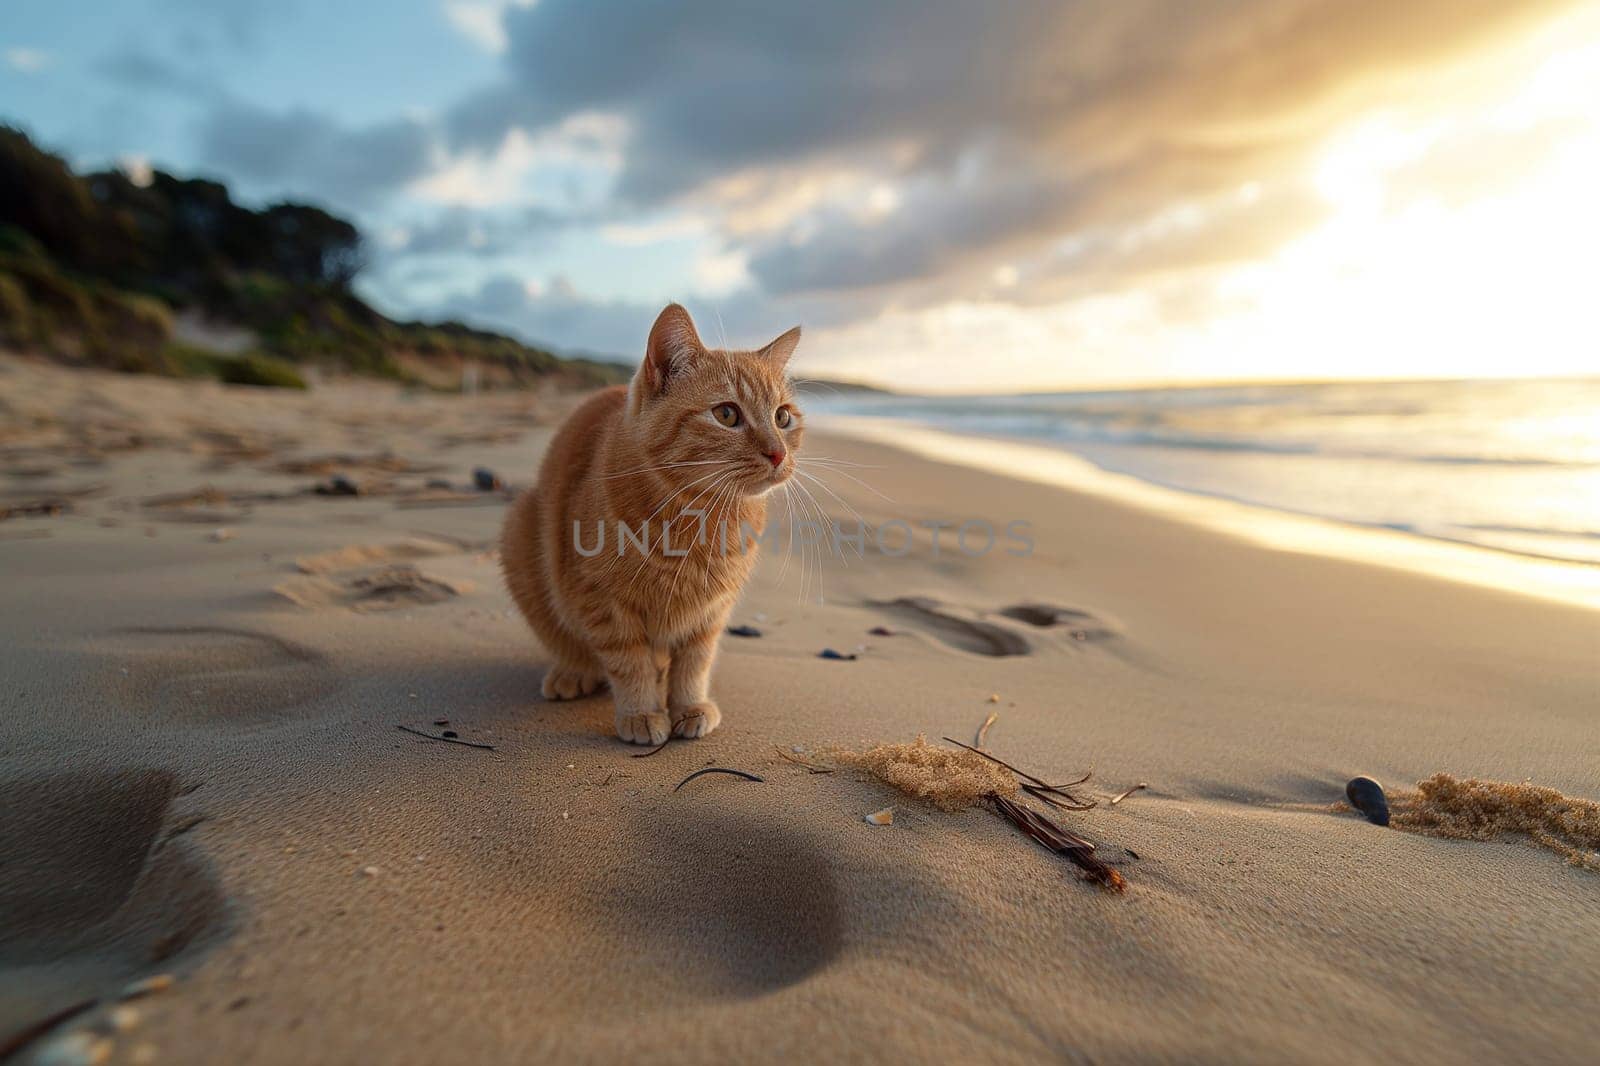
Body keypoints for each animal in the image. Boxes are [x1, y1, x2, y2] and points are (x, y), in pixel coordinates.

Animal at [499, 302, 800, 742]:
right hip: (520, 534)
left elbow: (694, 662)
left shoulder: (710, 612)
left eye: (783, 417)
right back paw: (573, 673)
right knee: (572, 646)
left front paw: (689, 706)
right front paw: (641, 712)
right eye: (727, 414)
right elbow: (629, 662)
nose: (778, 453)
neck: (702, 518)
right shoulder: (601, 601)